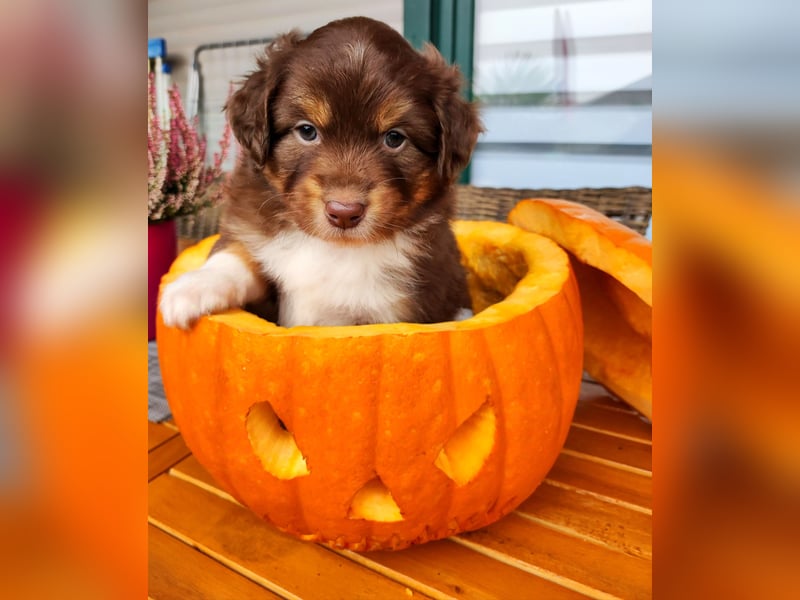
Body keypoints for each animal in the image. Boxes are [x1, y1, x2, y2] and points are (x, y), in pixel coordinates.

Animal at [159, 16, 478, 328]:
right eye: (307, 131)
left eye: (395, 138)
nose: (344, 212)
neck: (332, 248)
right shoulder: (253, 232)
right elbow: (236, 255)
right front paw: (189, 290)